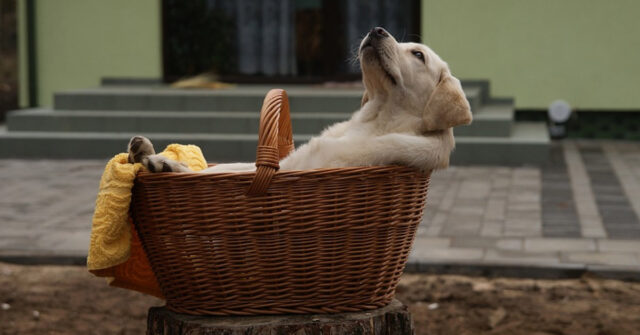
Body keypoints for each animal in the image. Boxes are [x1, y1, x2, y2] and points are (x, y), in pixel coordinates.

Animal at [129, 27, 470, 175]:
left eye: (418, 55)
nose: (377, 29)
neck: (374, 120)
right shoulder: (283, 163)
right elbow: (221, 168)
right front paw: (159, 158)